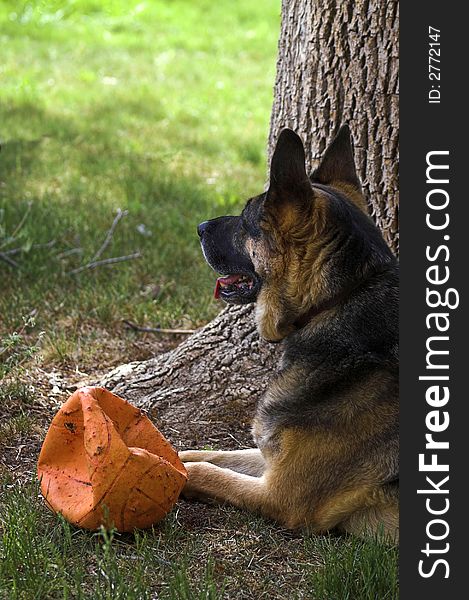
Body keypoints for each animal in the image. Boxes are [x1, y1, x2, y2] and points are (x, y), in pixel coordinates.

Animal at [178, 127, 394, 544]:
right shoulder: (270, 459)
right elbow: (211, 454)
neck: (335, 302)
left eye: (246, 222)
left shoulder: (281, 496)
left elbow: (202, 472)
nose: (198, 227)